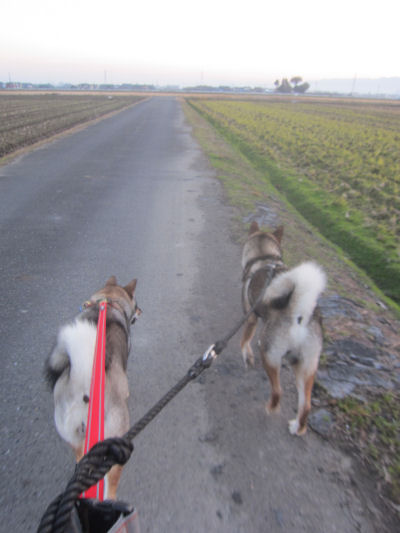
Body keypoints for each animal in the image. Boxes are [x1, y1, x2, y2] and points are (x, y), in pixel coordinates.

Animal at [44, 276, 140, 496]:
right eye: (137, 304)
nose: (141, 311)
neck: (109, 301)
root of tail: (83, 382)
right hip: (117, 443)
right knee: (110, 483)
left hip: (73, 436)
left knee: (81, 462)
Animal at [241, 222, 324, 434]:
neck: (264, 257)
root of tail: (299, 314)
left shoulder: (250, 317)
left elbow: (244, 341)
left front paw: (247, 356)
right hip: (306, 366)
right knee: (306, 404)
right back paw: (297, 428)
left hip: (270, 357)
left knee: (278, 391)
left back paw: (270, 408)